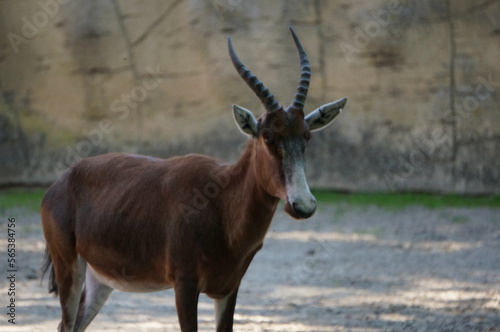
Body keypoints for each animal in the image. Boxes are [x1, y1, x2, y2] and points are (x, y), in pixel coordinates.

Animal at [41, 27, 348, 332]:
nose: (303, 206)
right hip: (69, 268)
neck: (220, 202)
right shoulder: (185, 285)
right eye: (268, 137)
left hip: (101, 280)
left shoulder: (228, 289)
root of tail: (60, 184)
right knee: (65, 324)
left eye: (306, 136)